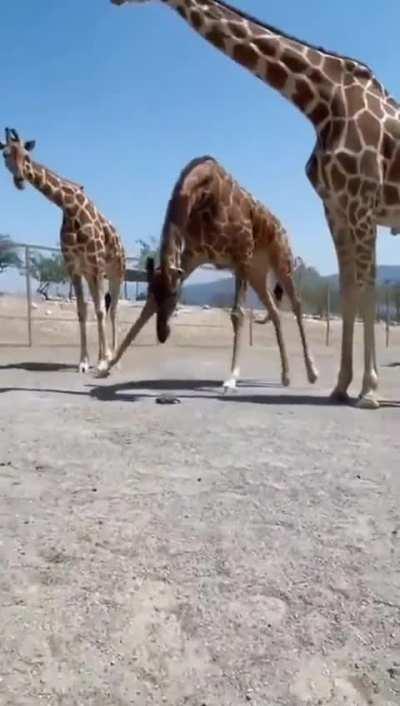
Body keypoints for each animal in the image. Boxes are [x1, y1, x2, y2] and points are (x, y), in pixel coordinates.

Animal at [0, 128, 126, 373]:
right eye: (5, 155)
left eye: (26, 155)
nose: (20, 180)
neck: (69, 207)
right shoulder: (73, 266)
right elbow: (82, 310)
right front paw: (84, 362)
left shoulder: (96, 263)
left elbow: (101, 310)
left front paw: (103, 360)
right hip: (90, 273)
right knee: (100, 306)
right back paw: (102, 354)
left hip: (115, 272)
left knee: (112, 308)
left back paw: (112, 355)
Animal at [104, 155, 318, 391]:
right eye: (155, 293)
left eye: (175, 296)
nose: (163, 334)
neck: (202, 192)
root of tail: (280, 226)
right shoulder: (193, 255)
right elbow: (146, 310)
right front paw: (107, 366)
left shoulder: (241, 254)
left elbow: (237, 313)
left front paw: (231, 377)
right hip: (257, 271)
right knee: (275, 311)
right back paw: (285, 375)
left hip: (280, 258)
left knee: (297, 304)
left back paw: (312, 372)